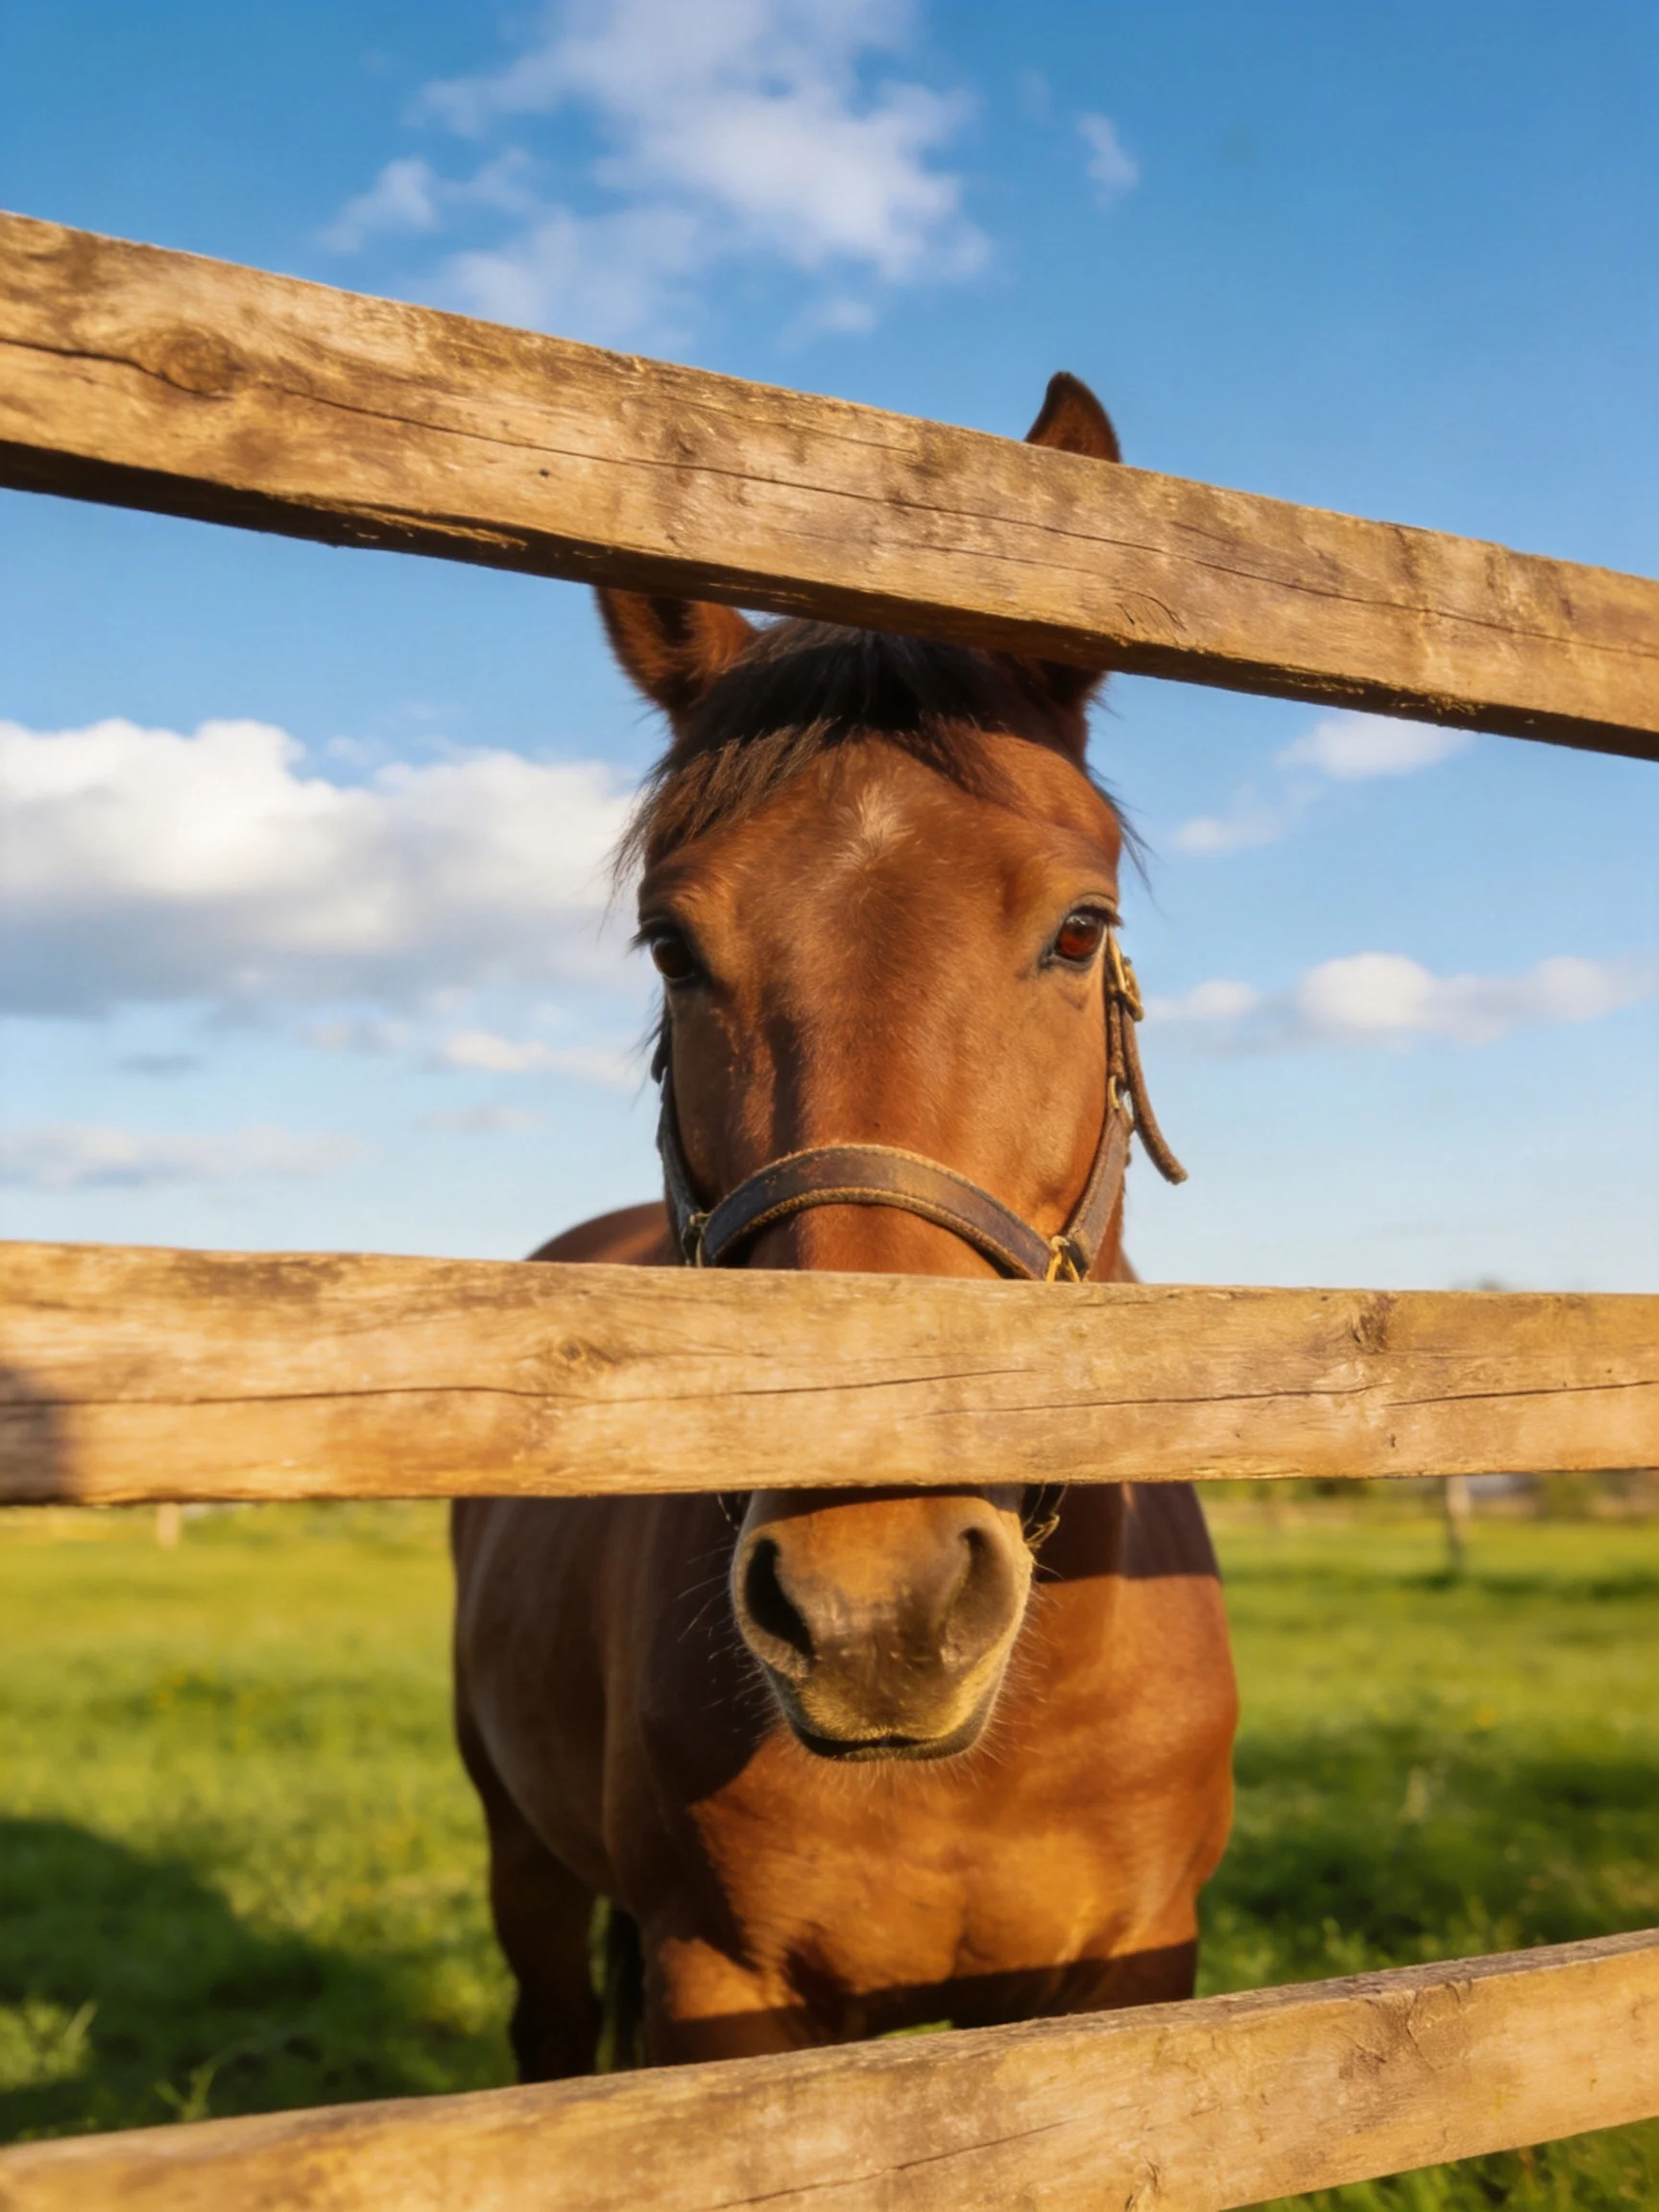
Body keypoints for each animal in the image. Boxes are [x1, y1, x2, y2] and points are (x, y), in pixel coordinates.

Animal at [452, 373, 1237, 2075]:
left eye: (1079, 930)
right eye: (671, 945)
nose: (878, 1604)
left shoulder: (1137, 1978)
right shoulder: (722, 1995)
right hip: (521, 1857)